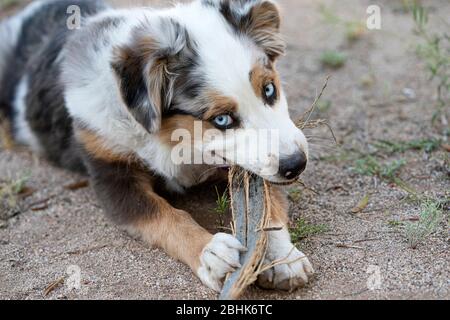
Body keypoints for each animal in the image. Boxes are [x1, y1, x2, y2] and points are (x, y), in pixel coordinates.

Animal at [0, 0, 312, 294]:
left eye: (269, 89)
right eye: (222, 119)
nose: (296, 165)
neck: (174, 140)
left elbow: (268, 203)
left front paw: (283, 258)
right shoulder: (111, 173)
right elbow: (164, 214)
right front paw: (210, 253)